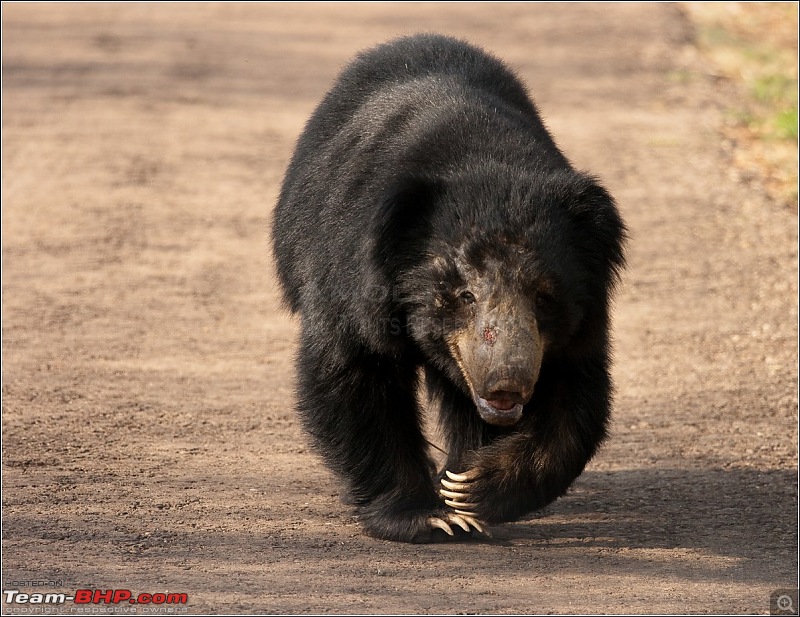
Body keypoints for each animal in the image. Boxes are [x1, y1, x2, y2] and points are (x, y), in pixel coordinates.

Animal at [272, 35, 628, 544]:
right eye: (465, 296)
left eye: (544, 298)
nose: (507, 383)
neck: (485, 164)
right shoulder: (351, 276)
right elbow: (356, 371)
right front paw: (429, 515)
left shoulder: (579, 321)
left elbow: (574, 395)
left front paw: (471, 487)